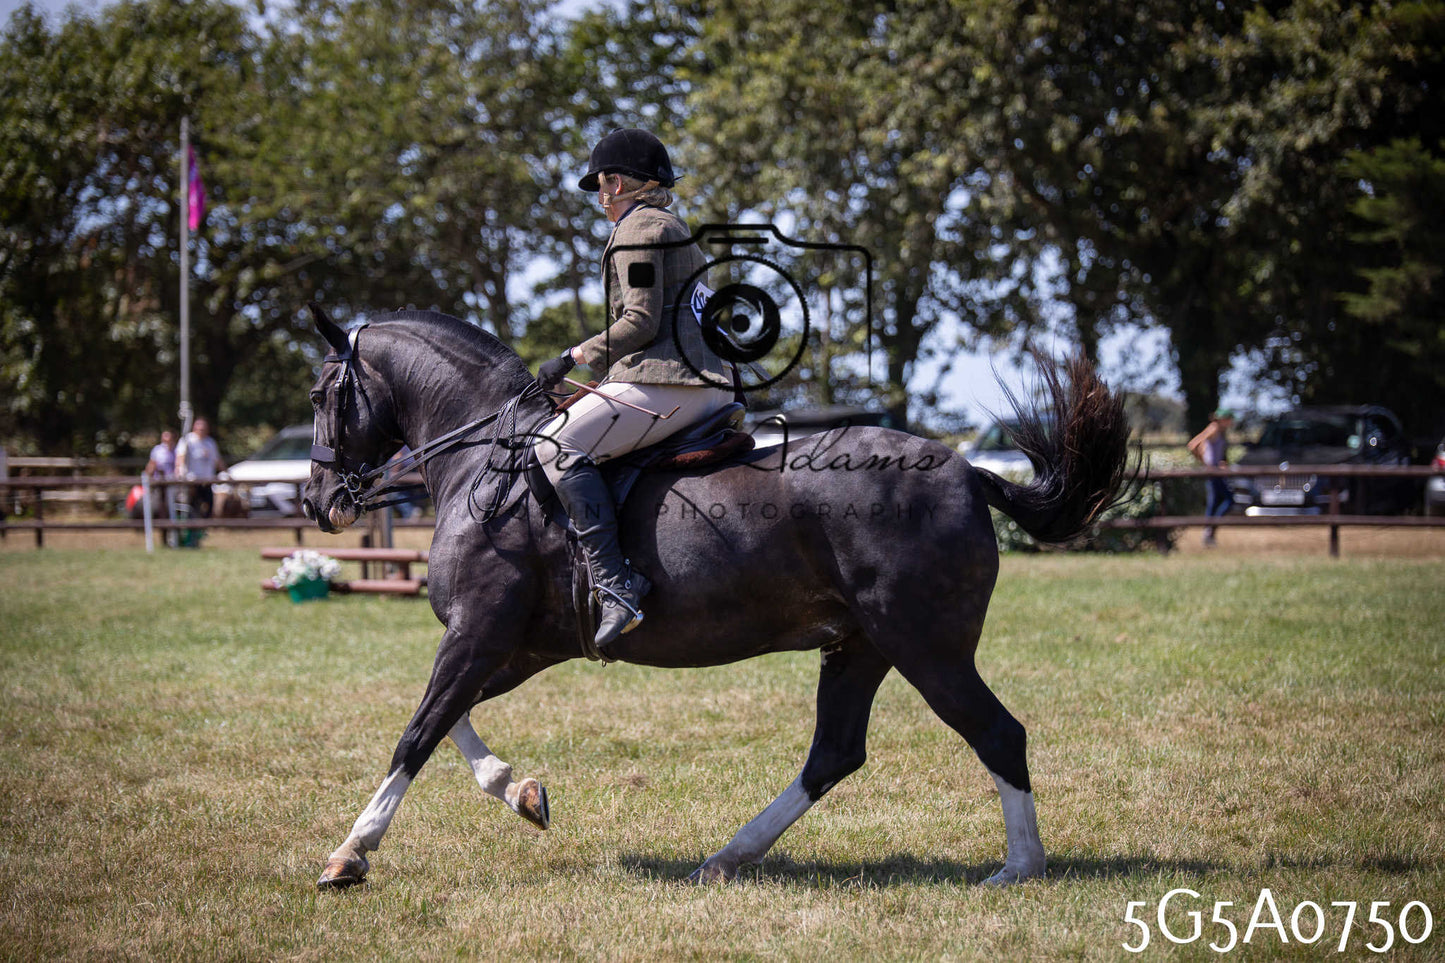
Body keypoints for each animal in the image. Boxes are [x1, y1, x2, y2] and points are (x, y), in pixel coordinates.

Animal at [301, 307, 1132, 890]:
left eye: (319, 393)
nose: (318, 502)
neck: (483, 460)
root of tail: (965, 471)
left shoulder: (478, 631)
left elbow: (418, 731)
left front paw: (349, 853)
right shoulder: (517, 645)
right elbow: (450, 722)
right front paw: (522, 792)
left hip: (925, 645)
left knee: (996, 733)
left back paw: (1018, 867)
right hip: (858, 645)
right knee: (834, 752)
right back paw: (727, 857)